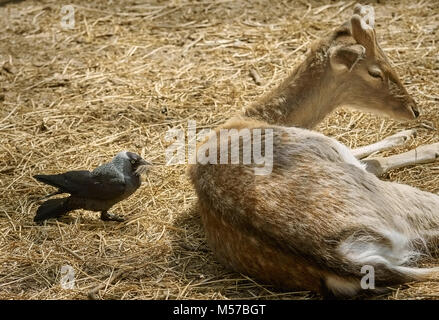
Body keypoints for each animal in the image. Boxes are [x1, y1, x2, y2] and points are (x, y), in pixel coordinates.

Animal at [187, 4, 439, 298]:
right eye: (375, 72)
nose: (414, 110)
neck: (253, 118)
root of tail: (341, 258)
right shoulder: (331, 148)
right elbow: (374, 161)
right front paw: (428, 145)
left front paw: (403, 135)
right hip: (392, 199)